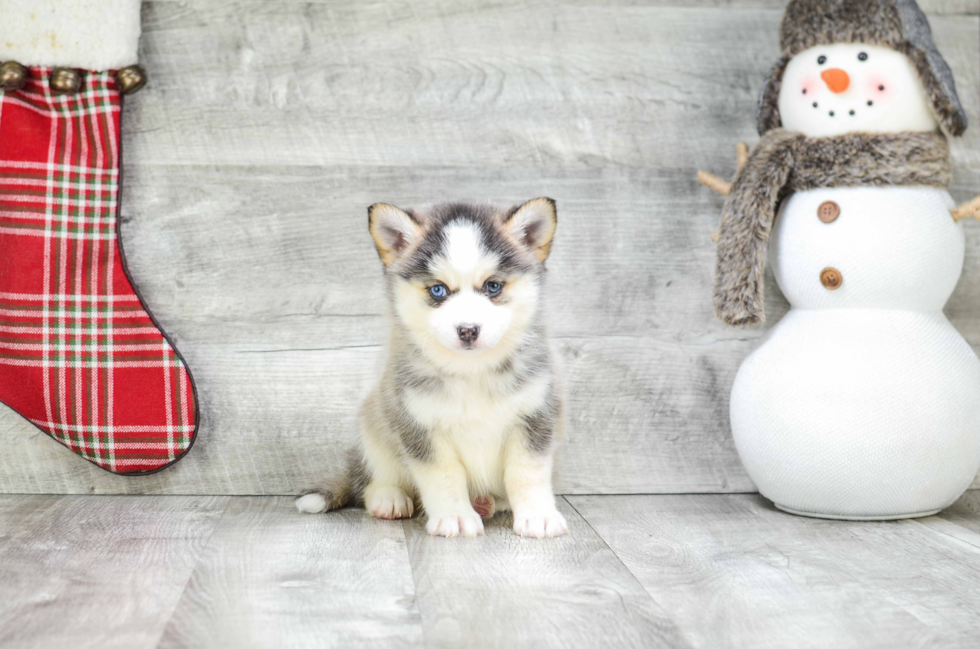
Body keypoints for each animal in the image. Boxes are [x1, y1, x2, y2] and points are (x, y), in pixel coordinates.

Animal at [294, 196, 568, 536]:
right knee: (373, 480)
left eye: (493, 286)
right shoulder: (418, 423)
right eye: (438, 290)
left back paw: (487, 503)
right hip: (374, 422)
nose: (467, 330)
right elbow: (443, 476)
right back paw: (389, 498)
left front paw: (538, 515)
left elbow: (527, 472)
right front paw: (456, 517)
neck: (471, 370)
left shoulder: (536, 415)